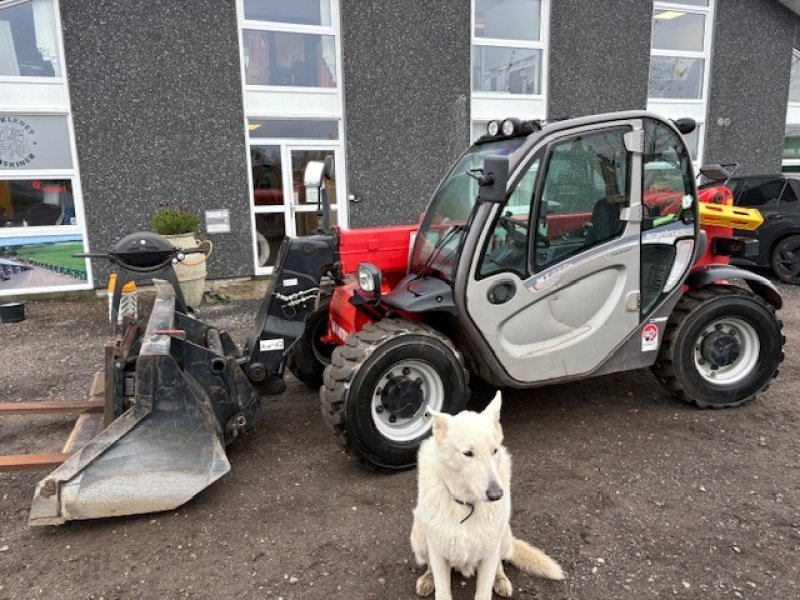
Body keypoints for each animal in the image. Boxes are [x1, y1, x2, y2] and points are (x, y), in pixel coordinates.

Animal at [410, 392, 564, 596]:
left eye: (495, 450)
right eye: (468, 453)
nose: (496, 495)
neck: (467, 503)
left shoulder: (490, 552)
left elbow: (484, 590)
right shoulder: (437, 550)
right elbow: (442, 590)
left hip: (503, 537)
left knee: (500, 564)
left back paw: (501, 580)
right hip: (419, 535)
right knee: (429, 565)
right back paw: (428, 578)